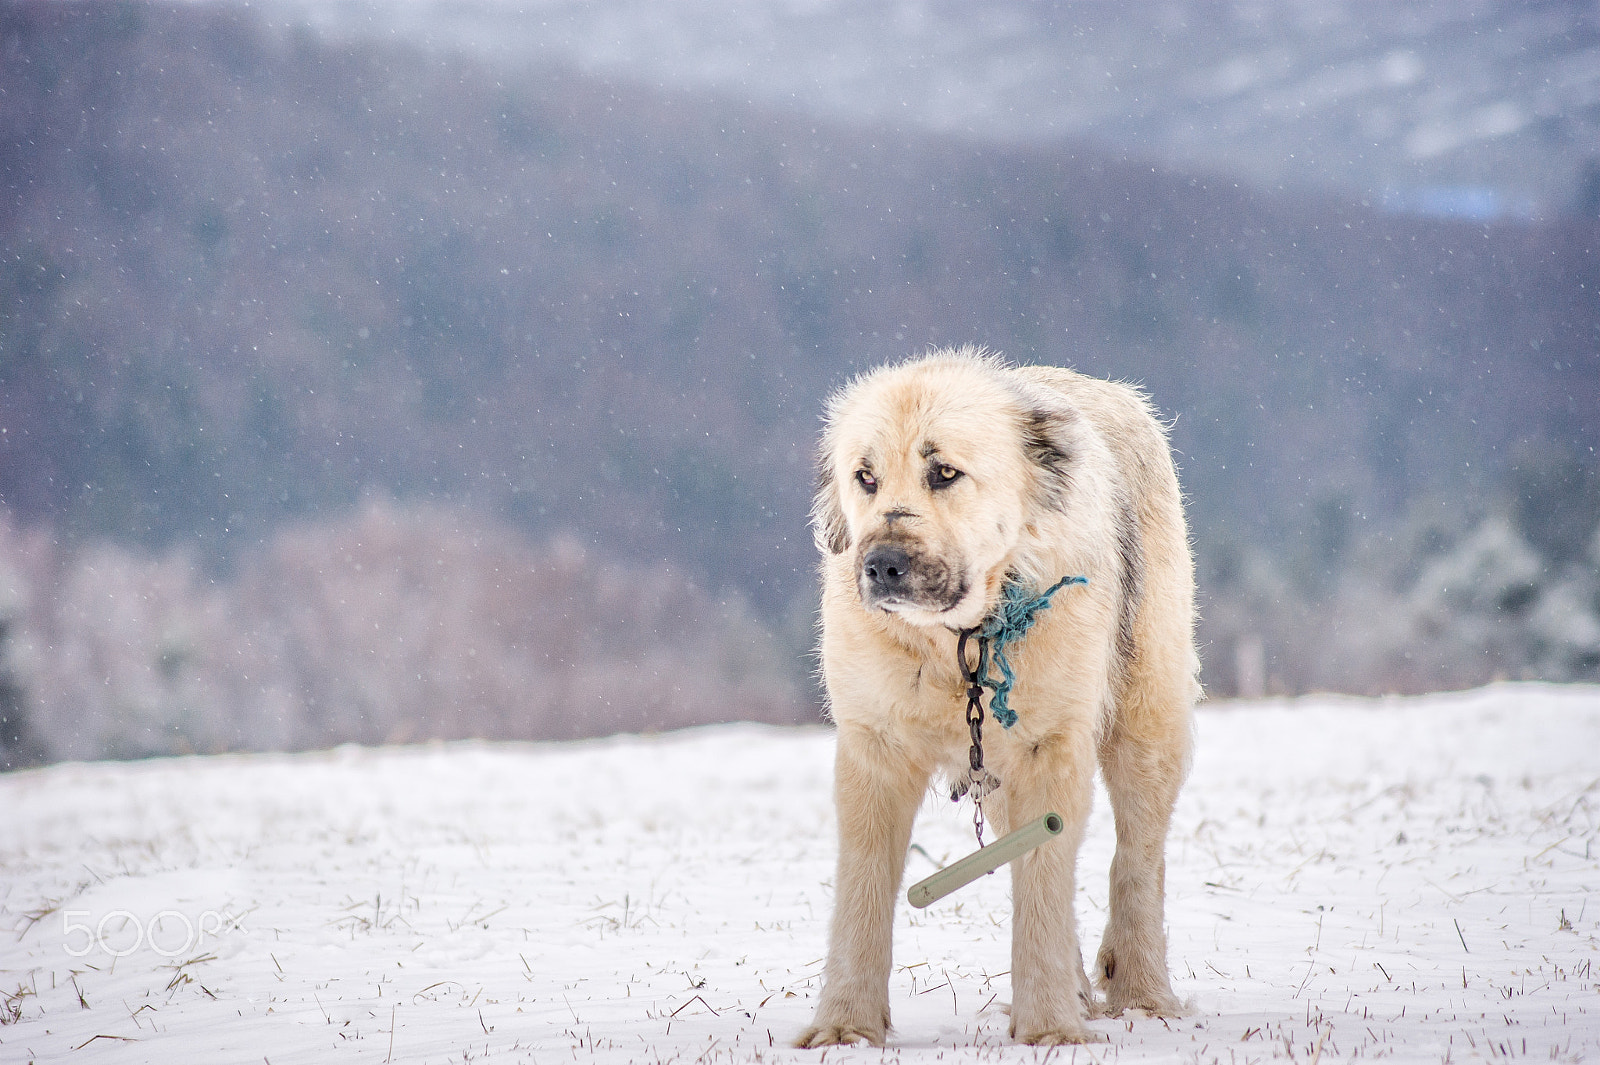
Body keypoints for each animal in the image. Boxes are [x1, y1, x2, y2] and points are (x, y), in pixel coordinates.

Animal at [793, 348, 1196, 1042]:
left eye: (944, 472)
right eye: (865, 477)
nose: (882, 565)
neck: (959, 647)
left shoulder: (1049, 746)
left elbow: (1045, 884)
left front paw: (1051, 1029)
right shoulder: (875, 748)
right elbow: (863, 888)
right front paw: (845, 1026)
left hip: (1147, 718)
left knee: (1138, 858)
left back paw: (1142, 990)